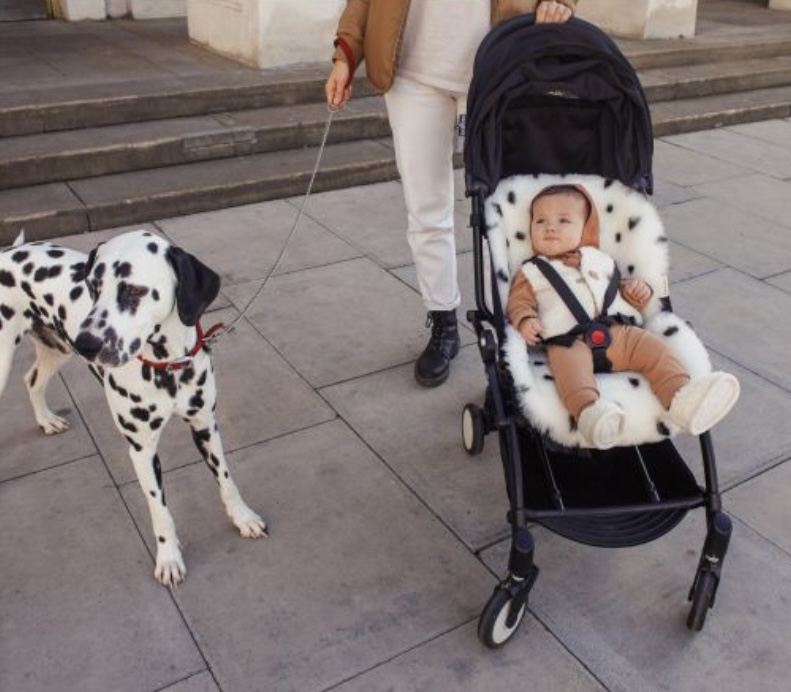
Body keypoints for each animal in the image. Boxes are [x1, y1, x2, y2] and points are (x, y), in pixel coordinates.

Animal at [0, 230, 268, 588]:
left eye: (134, 290)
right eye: (93, 287)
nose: (86, 344)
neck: (167, 366)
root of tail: (9, 251)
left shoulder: (205, 426)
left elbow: (226, 479)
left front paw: (242, 517)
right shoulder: (141, 450)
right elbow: (160, 511)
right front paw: (168, 558)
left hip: (56, 351)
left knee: (31, 380)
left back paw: (46, 420)